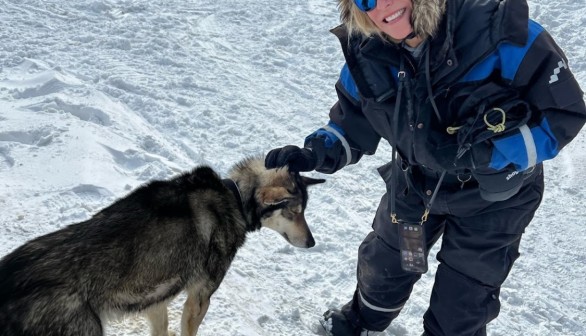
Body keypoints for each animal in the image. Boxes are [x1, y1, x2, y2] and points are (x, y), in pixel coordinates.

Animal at [0, 157, 324, 336]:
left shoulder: (156, 299)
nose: (312, 243)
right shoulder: (199, 298)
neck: (233, 197)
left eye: (305, 211)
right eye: (295, 212)